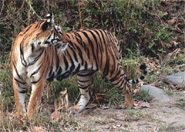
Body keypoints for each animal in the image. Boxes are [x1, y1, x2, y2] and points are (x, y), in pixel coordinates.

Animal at [11, 13, 147, 118]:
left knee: (127, 85)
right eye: (58, 31)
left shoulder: (38, 79)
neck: (31, 49)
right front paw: (19, 115)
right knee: (86, 94)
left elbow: (33, 101)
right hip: (84, 75)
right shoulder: (18, 78)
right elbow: (18, 99)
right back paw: (76, 109)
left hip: (111, 69)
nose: (68, 41)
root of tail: (110, 34)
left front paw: (29, 118)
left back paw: (128, 105)